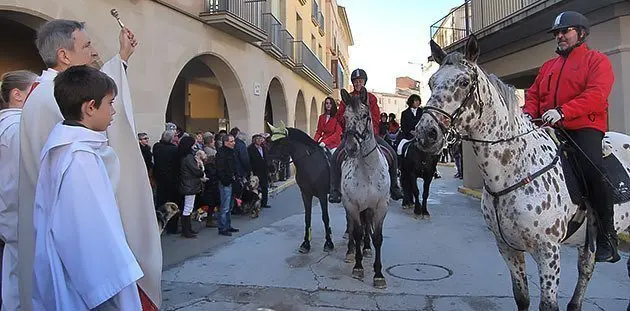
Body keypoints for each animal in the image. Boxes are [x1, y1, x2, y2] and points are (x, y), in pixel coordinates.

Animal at [266, 122, 336, 254]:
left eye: (281, 143)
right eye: (270, 142)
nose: (271, 167)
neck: (310, 162)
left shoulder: (322, 194)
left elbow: (325, 217)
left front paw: (329, 243)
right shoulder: (305, 194)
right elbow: (307, 218)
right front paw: (306, 243)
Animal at [414, 34, 630, 311]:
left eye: (463, 82)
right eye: (431, 83)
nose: (425, 134)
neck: (514, 168)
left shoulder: (548, 253)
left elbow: (547, 305)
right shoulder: (508, 248)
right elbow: (522, 297)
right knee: (586, 267)